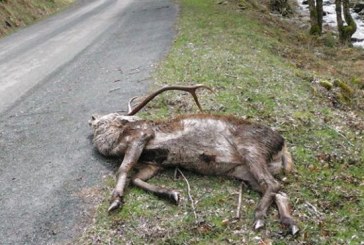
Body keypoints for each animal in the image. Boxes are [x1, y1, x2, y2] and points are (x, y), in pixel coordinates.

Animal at [88, 84, 298, 235]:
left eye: (110, 116)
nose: (91, 117)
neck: (114, 143)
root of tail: (283, 147)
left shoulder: (141, 134)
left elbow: (124, 169)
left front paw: (115, 201)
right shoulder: (153, 163)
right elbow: (135, 178)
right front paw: (172, 194)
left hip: (251, 149)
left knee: (273, 184)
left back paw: (259, 217)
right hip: (243, 171)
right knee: (279, 191)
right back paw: (291, 223)